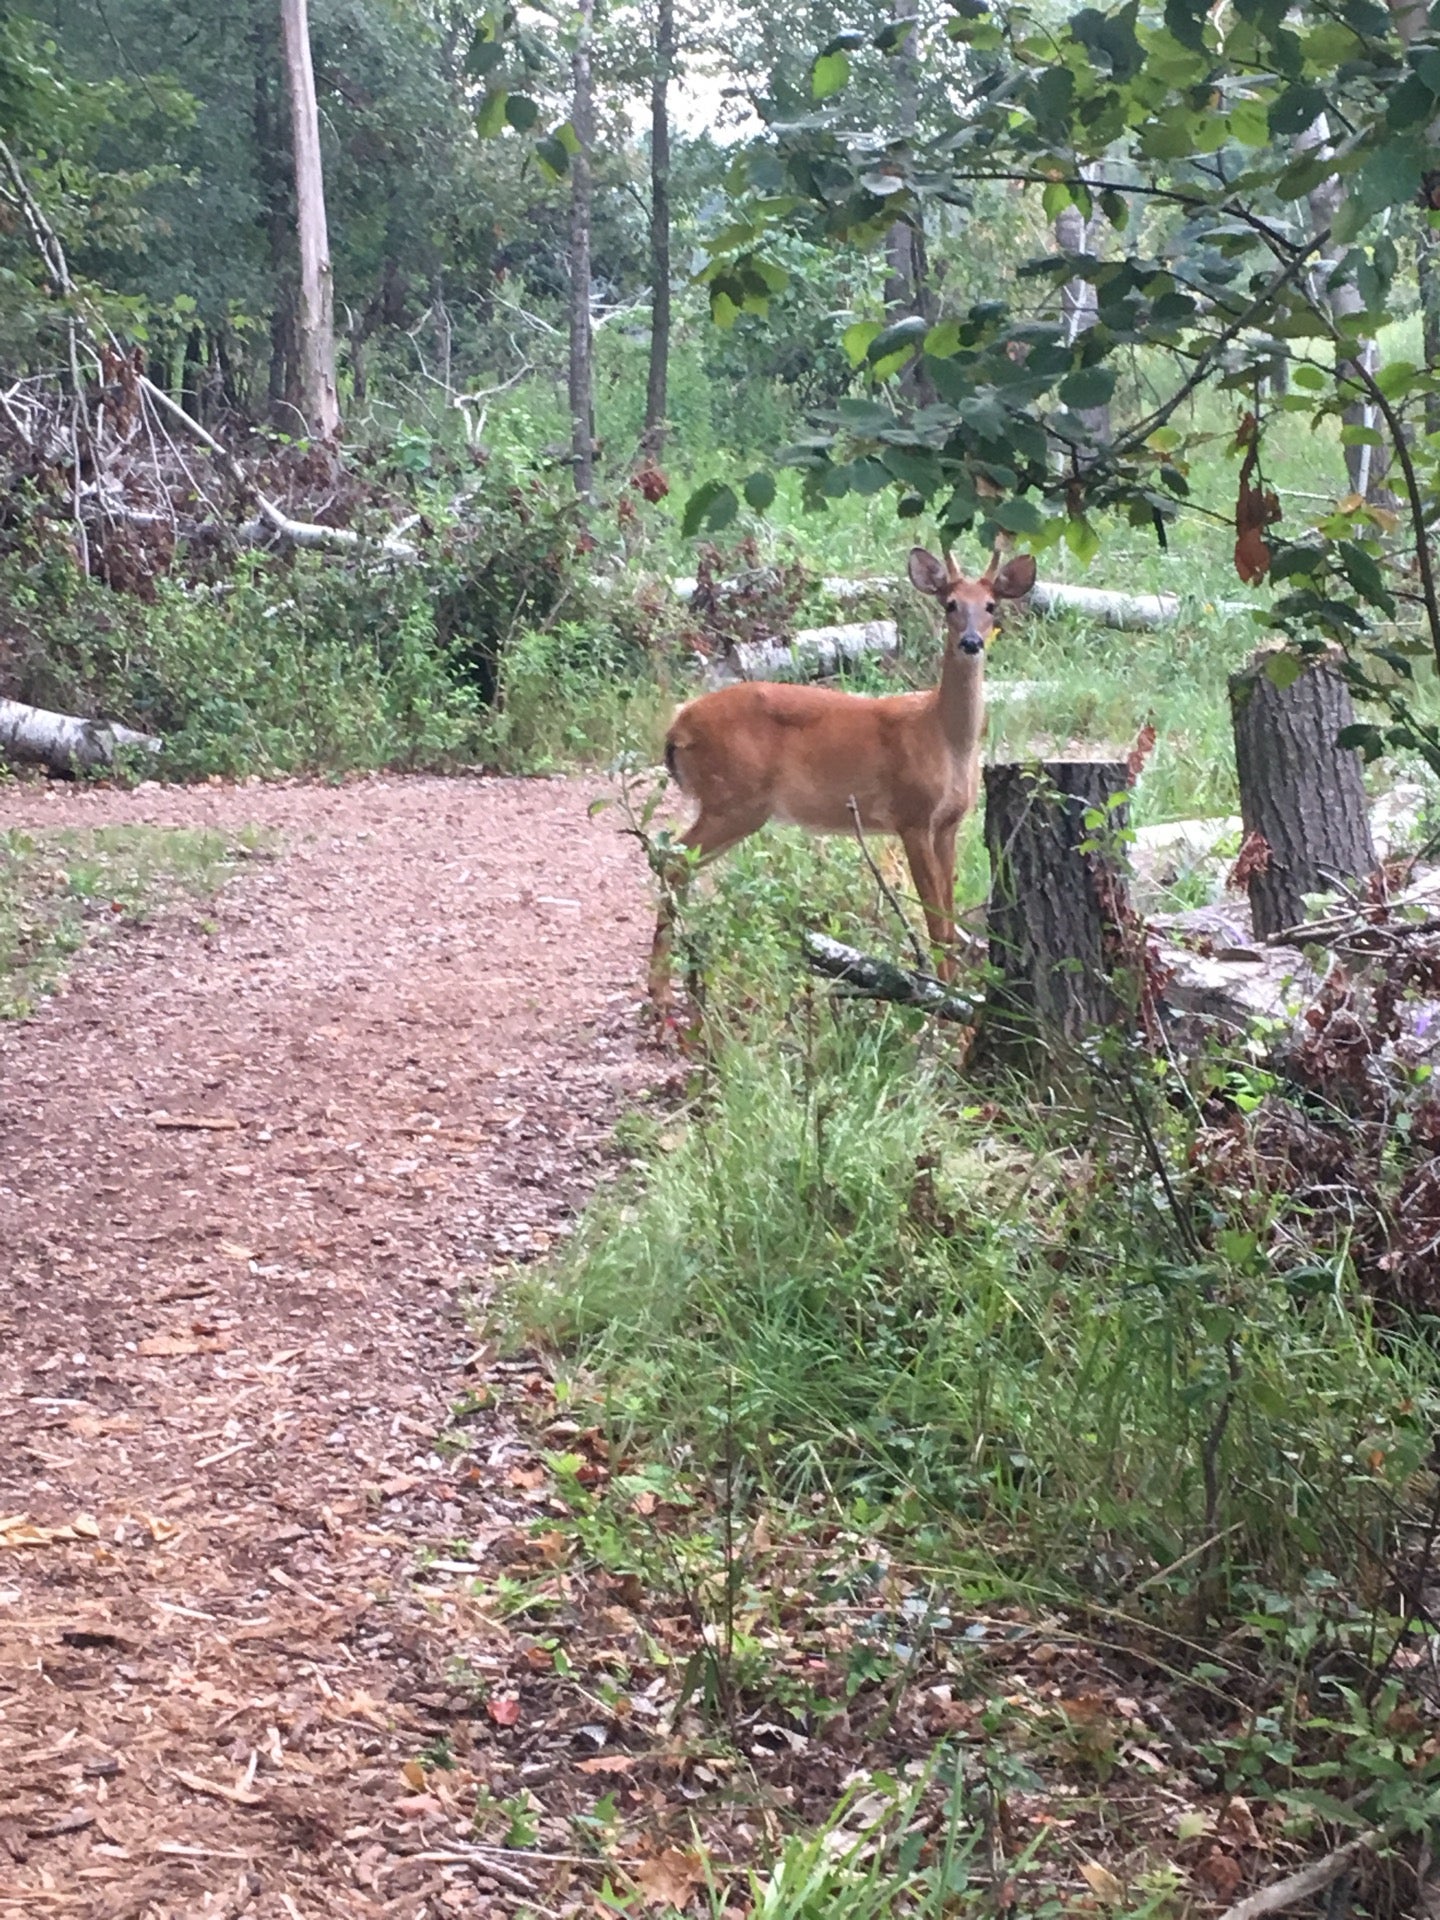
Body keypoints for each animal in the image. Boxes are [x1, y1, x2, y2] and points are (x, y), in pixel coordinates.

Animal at [652, 541, 1036, 1006]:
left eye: (991, 606)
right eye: (950, 605)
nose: (971, 641)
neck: (943, 736)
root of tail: (677, 728)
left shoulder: (949, 823)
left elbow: (947, 918)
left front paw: (954, 995)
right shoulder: (911, 815)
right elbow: (933, 920)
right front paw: (943, 1005)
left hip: (734, 805)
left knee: (675, 861)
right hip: (735, 799)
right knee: (672, 860)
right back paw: (662, 993)